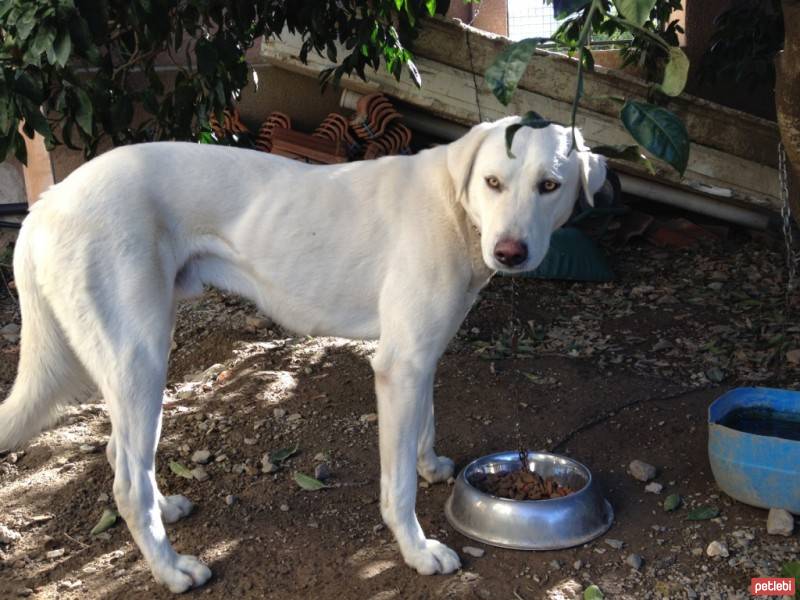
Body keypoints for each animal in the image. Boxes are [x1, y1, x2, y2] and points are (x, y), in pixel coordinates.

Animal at [0, 116, 600, 592]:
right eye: (493, 182)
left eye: (549, 185)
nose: (510, 252)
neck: (455, 203)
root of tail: (46, 204)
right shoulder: (398, 365)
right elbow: (398, 486)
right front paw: (417, 550)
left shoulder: (420, 354)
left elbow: (426, 425)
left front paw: (430, 466)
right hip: (141, 358)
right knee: (128, 482)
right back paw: (172, 570)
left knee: (122, 457)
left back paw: (165, 509)